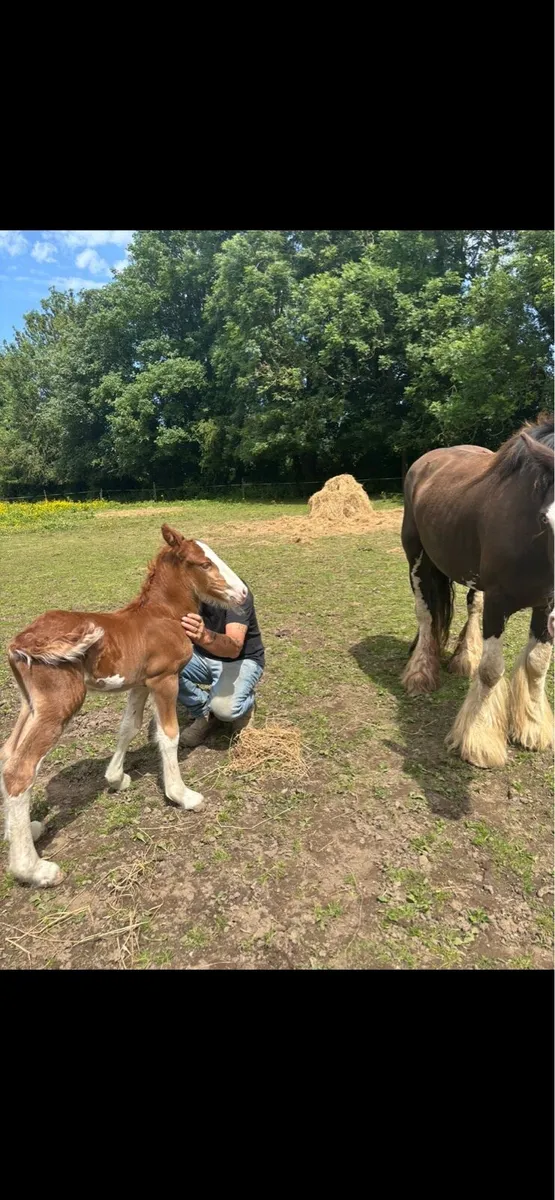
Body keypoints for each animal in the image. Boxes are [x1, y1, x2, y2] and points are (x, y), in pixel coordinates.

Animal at [0, 525, 247, 888]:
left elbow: (128, 728)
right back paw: (33, 869)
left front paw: (116, 779)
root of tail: (20, 641)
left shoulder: (141, 683)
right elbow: (168, 735)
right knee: (20, 769)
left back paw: (23, 831)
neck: (163, 615)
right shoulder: (165, 679)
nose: (242, 593)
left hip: (30, 704)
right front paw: (182, 795)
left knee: (7, 752)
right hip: (59, 704)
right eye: (204, 563)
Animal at [400, 417, 554, 769]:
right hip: (416, 557)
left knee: (470, 608)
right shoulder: (499, 603)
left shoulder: (546, 603)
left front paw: (534, 725)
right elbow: (491, 670)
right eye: (546, 518)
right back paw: (420, 672)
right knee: (425, 613)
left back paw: (464, 658)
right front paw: (479, 740)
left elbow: (537, 663)